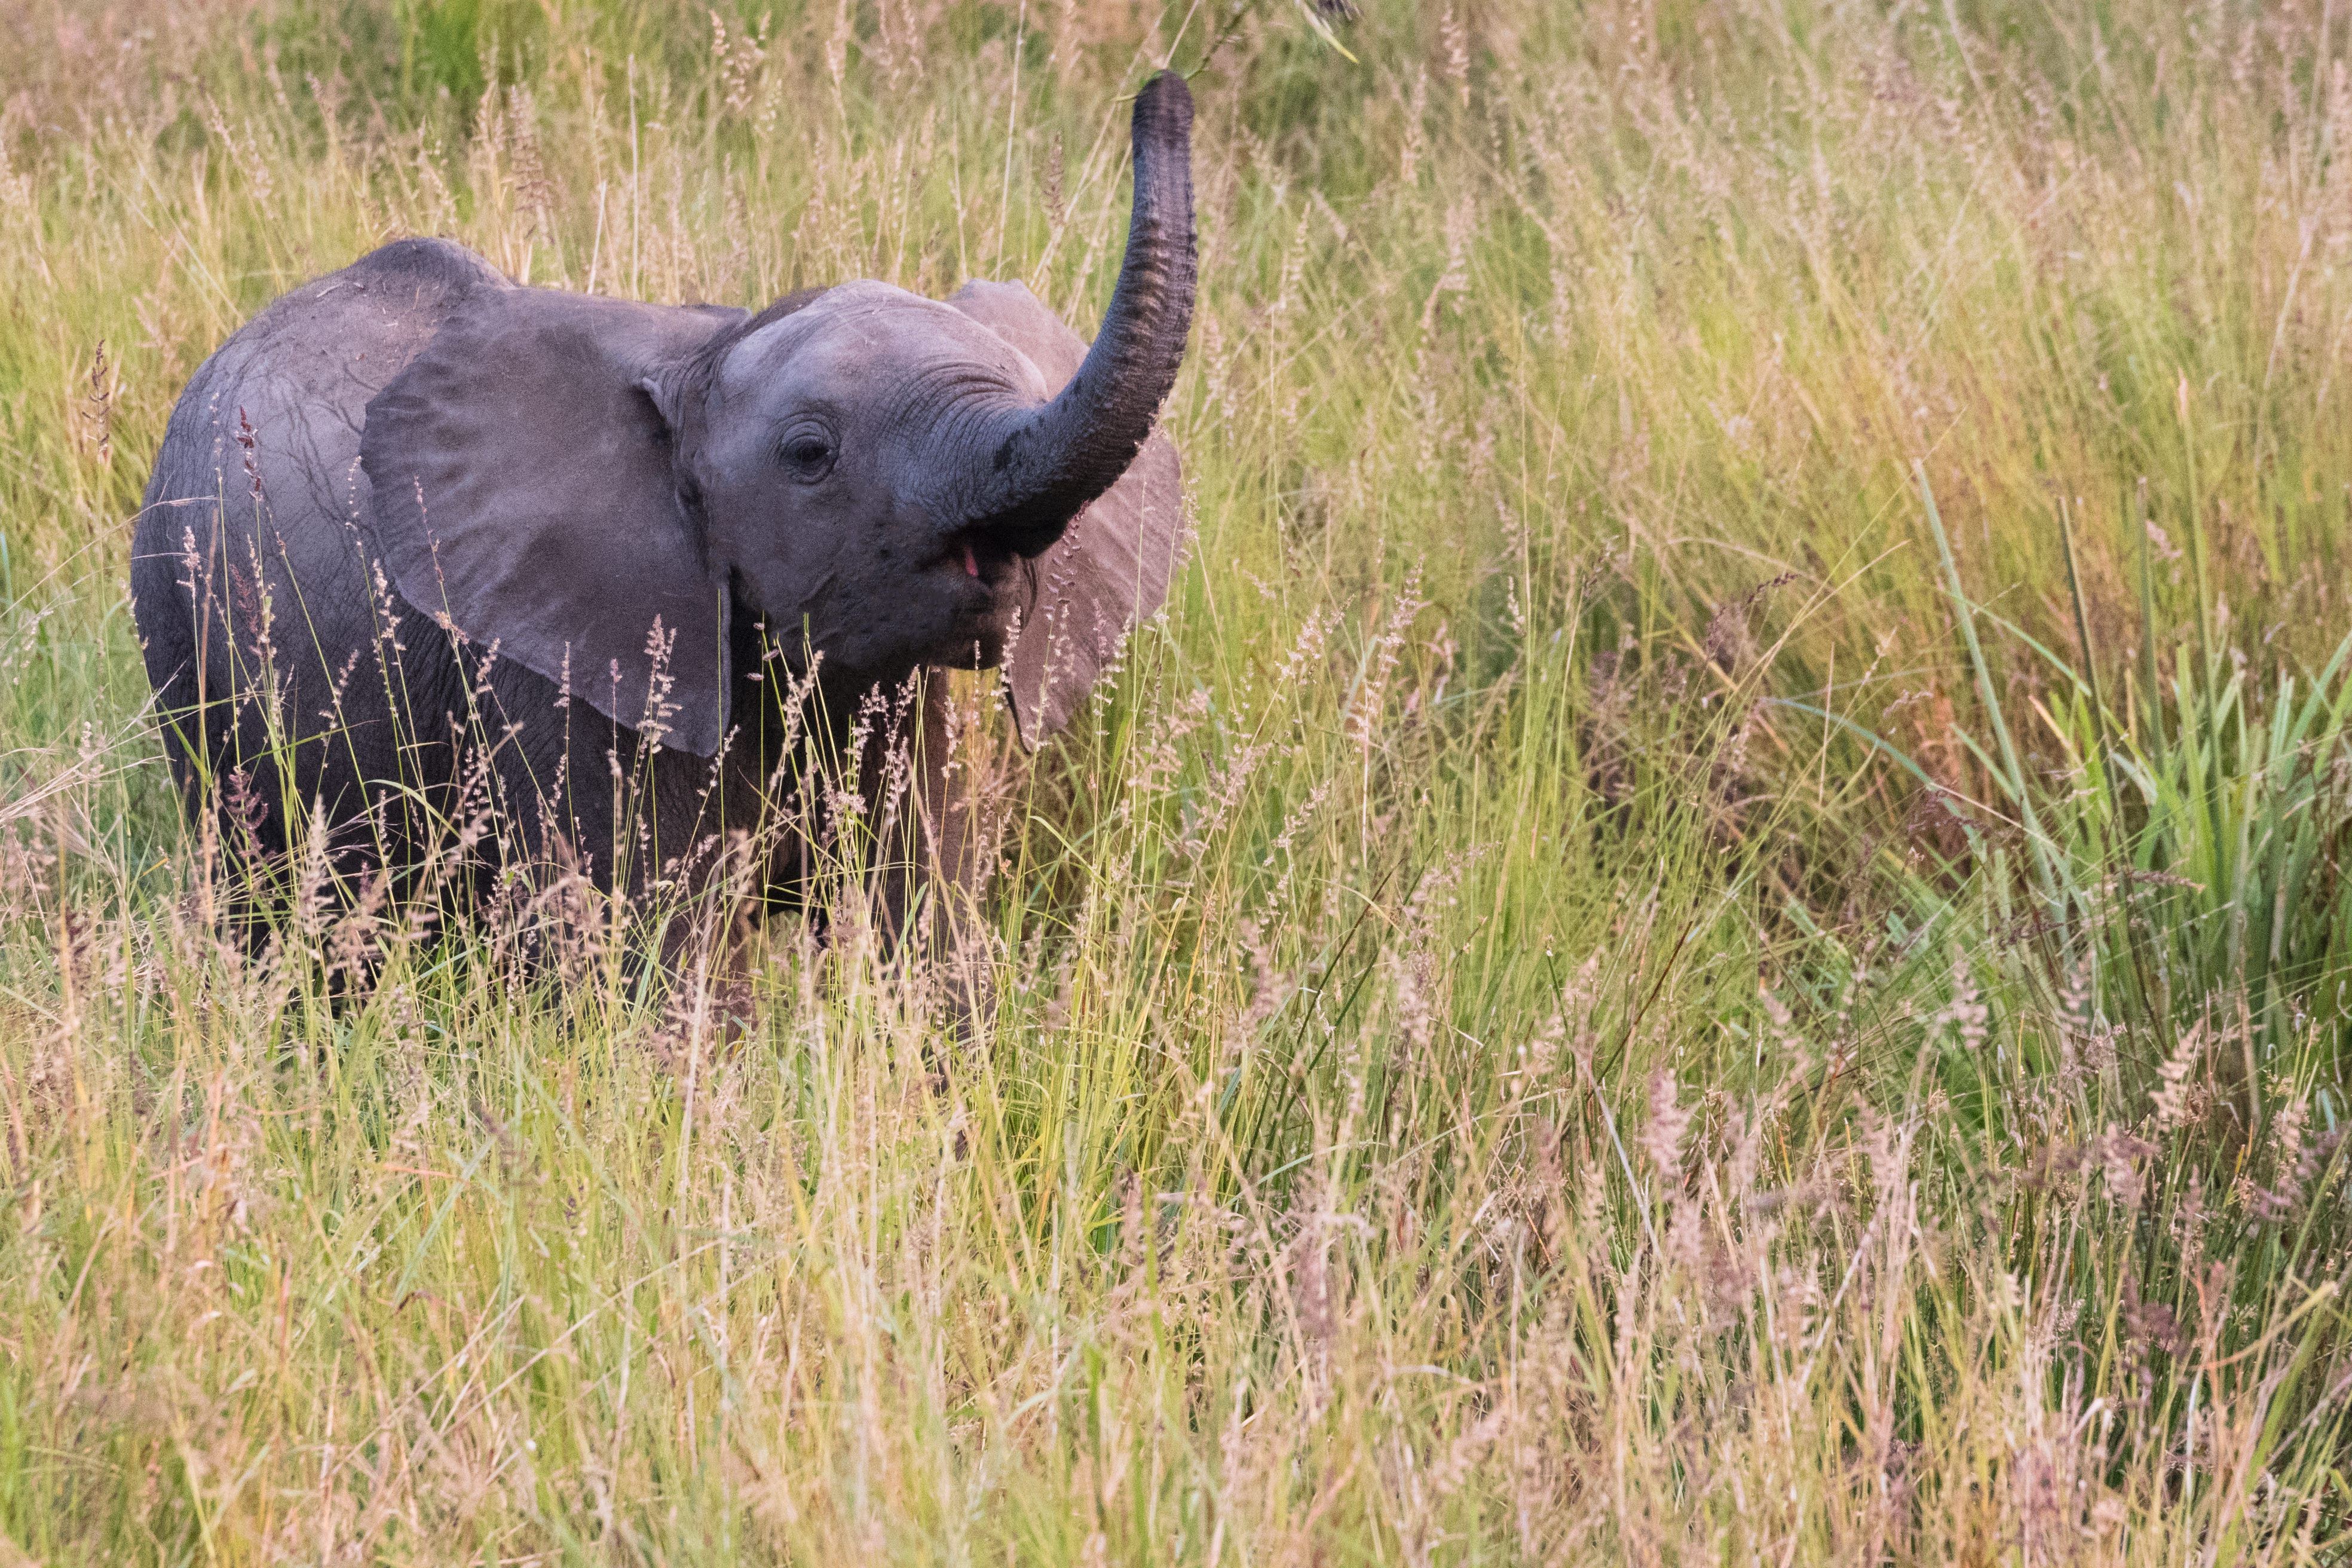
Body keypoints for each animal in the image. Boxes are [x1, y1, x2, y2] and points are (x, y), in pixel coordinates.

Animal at [128, 79, 1195, 973]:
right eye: (811, 454)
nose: (1162, 96)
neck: (708, 352)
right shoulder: (565, 671)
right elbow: (664, 962)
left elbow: (919, 929)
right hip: (179, 623)